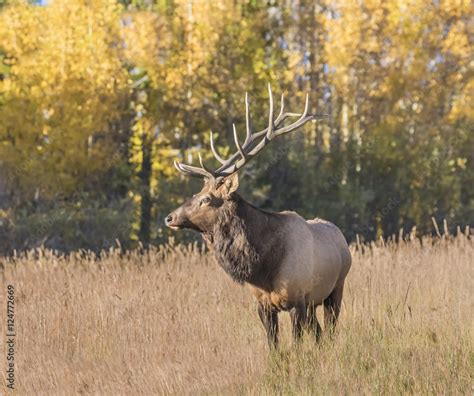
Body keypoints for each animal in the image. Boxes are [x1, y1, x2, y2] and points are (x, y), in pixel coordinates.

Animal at [165, 85, 350, 344]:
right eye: (196, 192)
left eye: (206, 199)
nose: (169, 217)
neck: (263, 268)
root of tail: (340, 235)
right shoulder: (263, 304)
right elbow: (274, 346)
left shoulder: (298, 300)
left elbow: (296, 345)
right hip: (315, 302)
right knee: (319, 333)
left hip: (336, 289)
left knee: (330, 330)